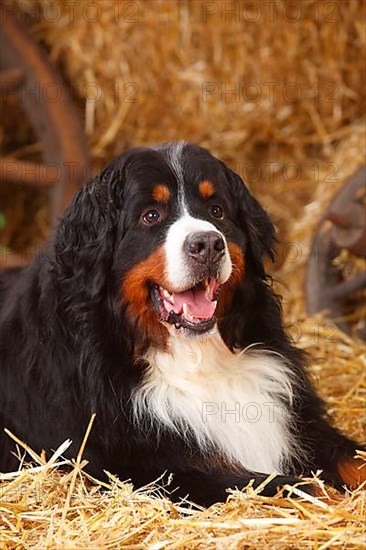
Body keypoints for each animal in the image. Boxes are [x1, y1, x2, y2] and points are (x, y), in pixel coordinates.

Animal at [0, 143, 364, 508]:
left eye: (217, 210)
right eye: (151, 215)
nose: (208, 245)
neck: (194, 356)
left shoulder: (304, 423)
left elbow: (354, 459)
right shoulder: (145, 469)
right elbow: (299, 488)